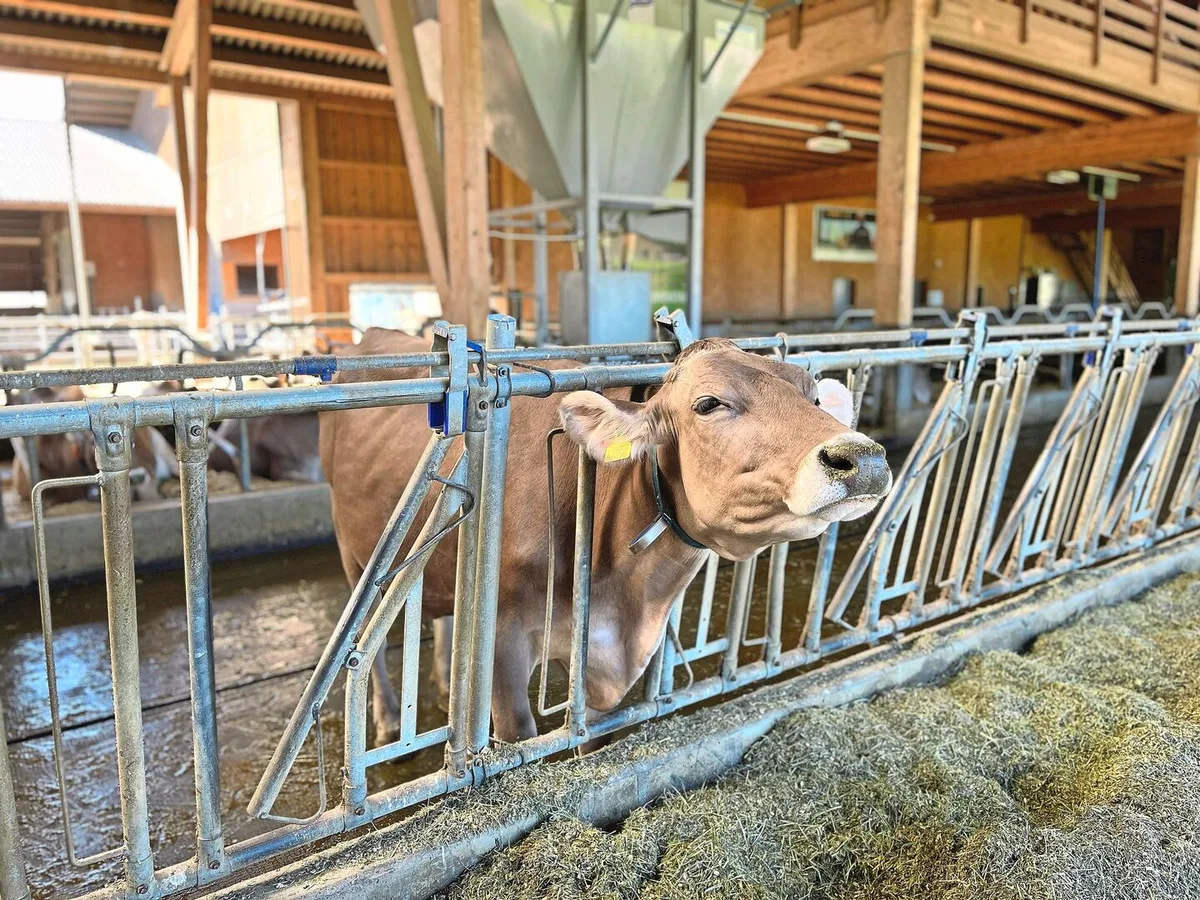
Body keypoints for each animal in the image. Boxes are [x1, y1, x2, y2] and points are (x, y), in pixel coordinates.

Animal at [321, 329, 891, 745]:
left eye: (814, 396)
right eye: (708, 404)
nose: (861, 457)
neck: (623, 594)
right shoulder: (503, 648)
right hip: (354, 552)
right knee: (365, 642)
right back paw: (388, 719)